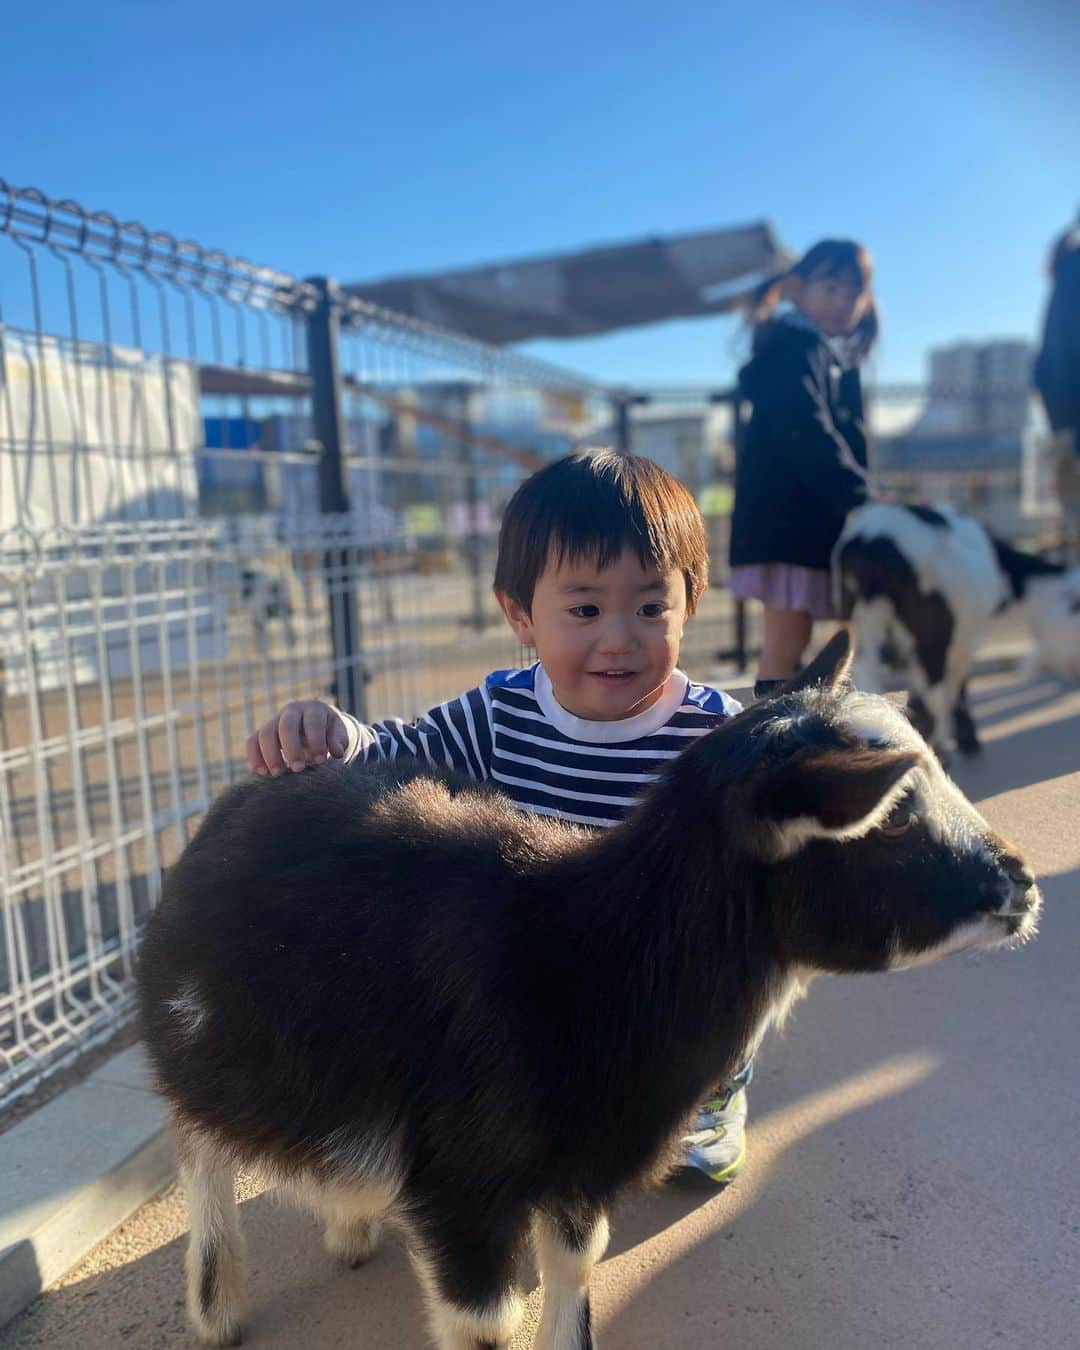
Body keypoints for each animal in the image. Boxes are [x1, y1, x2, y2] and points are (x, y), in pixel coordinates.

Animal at [135, 634, 1036, 1350]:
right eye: (889, 815)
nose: (1024, 885)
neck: (579, 956)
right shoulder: (463, 1189)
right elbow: (484, 1324)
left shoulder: (575, 1169)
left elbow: (576, 1269)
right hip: (202, 1048)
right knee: (199, 1144)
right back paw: (218, 1309)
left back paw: (350, 1228)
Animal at [831, 507, 1074, 756]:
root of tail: (871, 537)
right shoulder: (963, 641)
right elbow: (955, 687)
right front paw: (964, 739)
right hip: (932, 637)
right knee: (931, 702)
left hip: (859, 628)